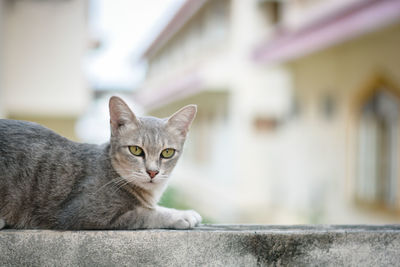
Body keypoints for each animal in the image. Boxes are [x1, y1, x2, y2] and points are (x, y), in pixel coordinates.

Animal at [0, 96, 202, 230]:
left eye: (167, 152)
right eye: (136, 150)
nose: (153, 172)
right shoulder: (87, 213)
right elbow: (147, 214)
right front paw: (180, 215)